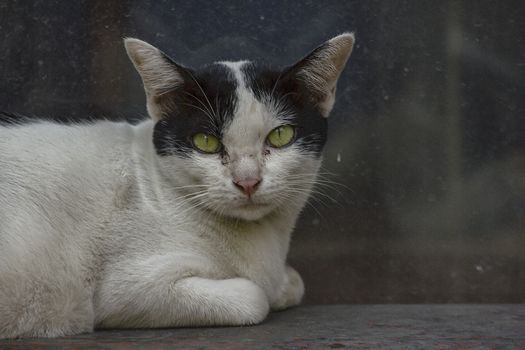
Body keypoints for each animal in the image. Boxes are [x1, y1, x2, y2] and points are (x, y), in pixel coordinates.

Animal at [0, 33, 352, 340]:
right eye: (206, 142)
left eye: (280, 136)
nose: (247, 181)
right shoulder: (128, 288)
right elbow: (254, 296)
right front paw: (268, 289)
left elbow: (294, 283)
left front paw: (284, 284)